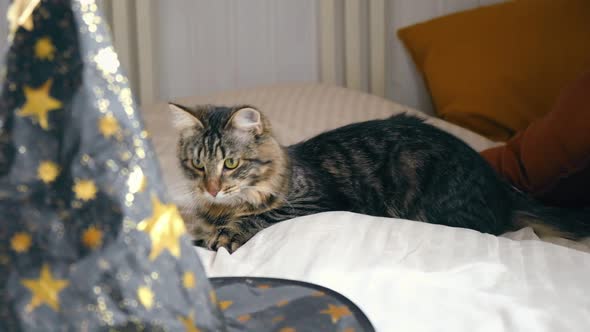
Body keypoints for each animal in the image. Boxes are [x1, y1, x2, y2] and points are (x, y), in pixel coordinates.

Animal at [168, 104, 590, 252]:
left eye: (231, 163)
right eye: (198, 165)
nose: (212, 187)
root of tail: (502, 186)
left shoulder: (317, 201)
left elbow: (263, 216)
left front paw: (227, 235)